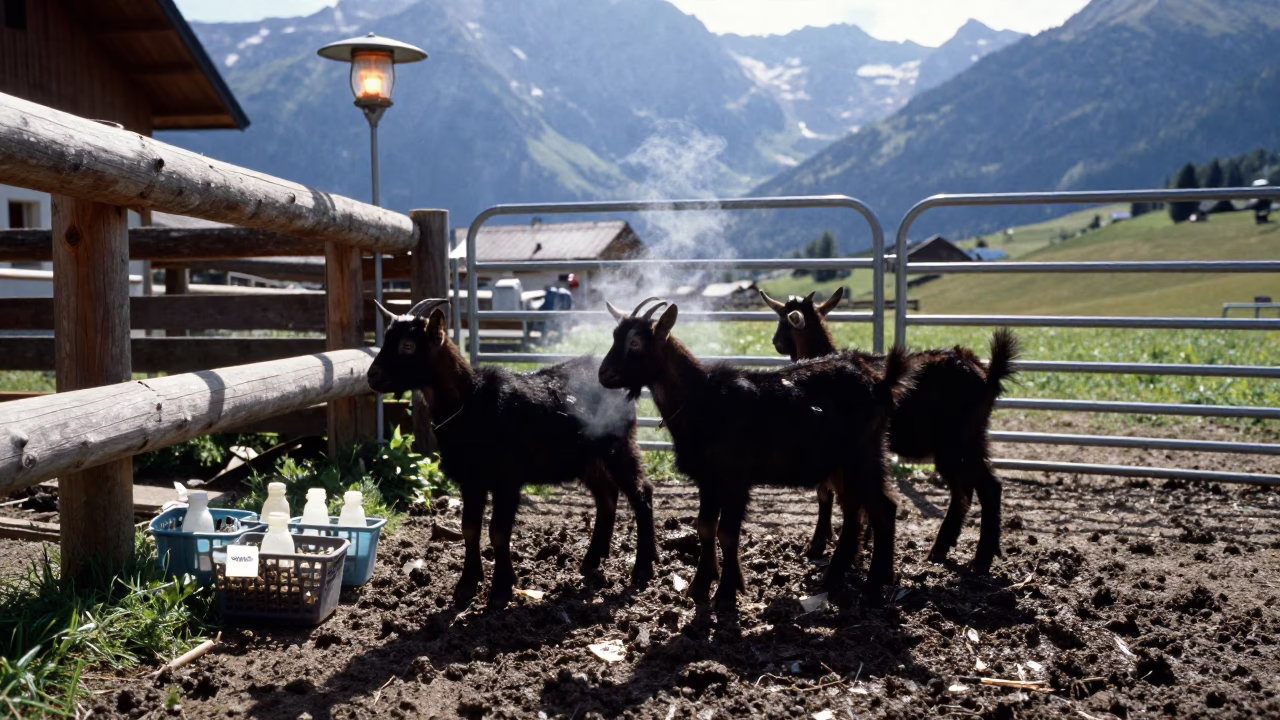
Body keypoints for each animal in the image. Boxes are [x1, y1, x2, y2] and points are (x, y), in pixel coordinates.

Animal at [366, 299, 656, 608]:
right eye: (386, 339)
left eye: (408, 345)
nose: (372, 376)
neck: (471, 402)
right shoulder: (471, 480)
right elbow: (469, 527)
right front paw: (467, 585)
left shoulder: (507, 479)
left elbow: (498, 531)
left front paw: (501, 590)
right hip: (588, 459)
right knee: (607, 497)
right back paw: (592, 561)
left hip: (618, 445)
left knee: (641, 493)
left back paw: (642, 569)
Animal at [598, 297, 914, 611]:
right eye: (614, 336)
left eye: (636, 342)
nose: (603, 374)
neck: (702, 398)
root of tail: (882, 383)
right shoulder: (707, 479)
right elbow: (705, 527)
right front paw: (701, 586)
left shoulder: (736, 476)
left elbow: (727, 533)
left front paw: (726, 593)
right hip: (843, 463)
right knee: (854, 509)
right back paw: (837, 575)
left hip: (861, 455)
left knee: (883, 508)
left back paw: (874, 586)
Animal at [761, 287, 1019, 572]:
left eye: (783, 320)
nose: (776, 341)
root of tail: (988, 376)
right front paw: (863, 541)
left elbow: (825, 492)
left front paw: (819, 544)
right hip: (971, 438)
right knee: (964, 489)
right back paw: (943, 549)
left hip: (957, 441)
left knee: (986, 488)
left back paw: (980, 560)